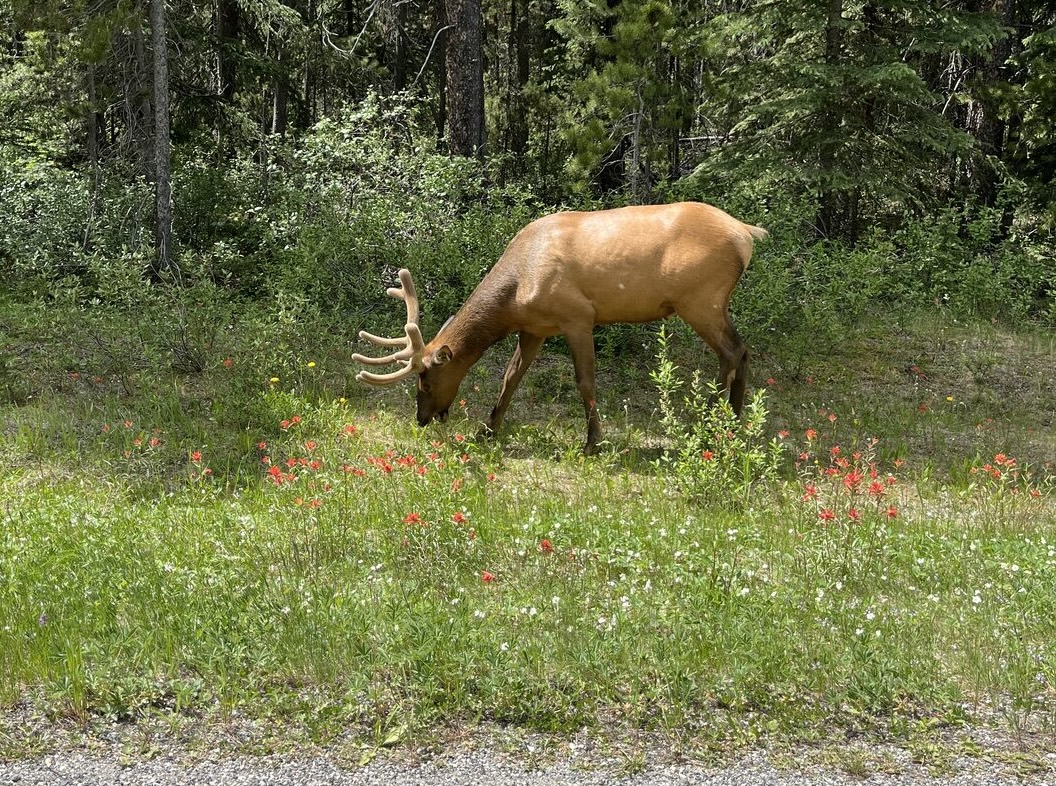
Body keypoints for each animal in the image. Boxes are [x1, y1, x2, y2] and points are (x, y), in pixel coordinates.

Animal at [352, 201, 768, 454]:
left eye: (424, 379)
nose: (421, 418)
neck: (515, 293)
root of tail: (746, 234)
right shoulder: (535, 328)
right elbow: (510, 377)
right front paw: (487, 430)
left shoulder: (578, 316)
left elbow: (585, 381)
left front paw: (592, 442)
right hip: (711, 303)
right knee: (744, 349)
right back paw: (734, 424)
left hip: (699, 299)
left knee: (731, 352)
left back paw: (709, 428)